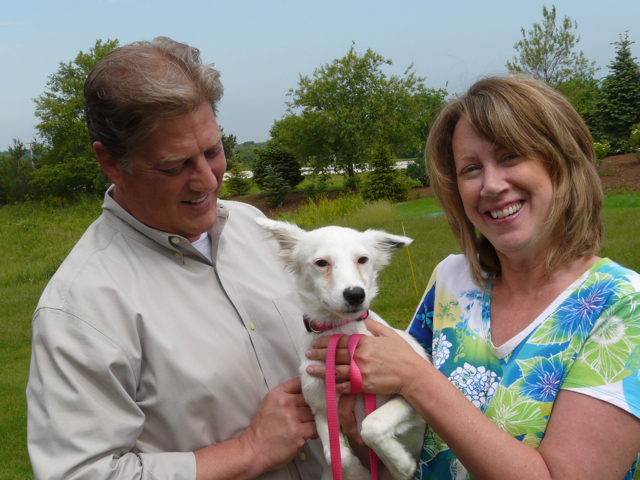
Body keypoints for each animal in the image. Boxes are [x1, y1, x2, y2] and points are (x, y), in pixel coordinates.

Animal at [256, 218, 430, 480]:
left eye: (363, 259)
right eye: (321, 262)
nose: (355, 294)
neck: (341, 335)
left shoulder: (415, 398)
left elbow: (371, 424)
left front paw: (400, 464)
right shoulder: (321, 410)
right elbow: (337, 455)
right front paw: (359, 472)